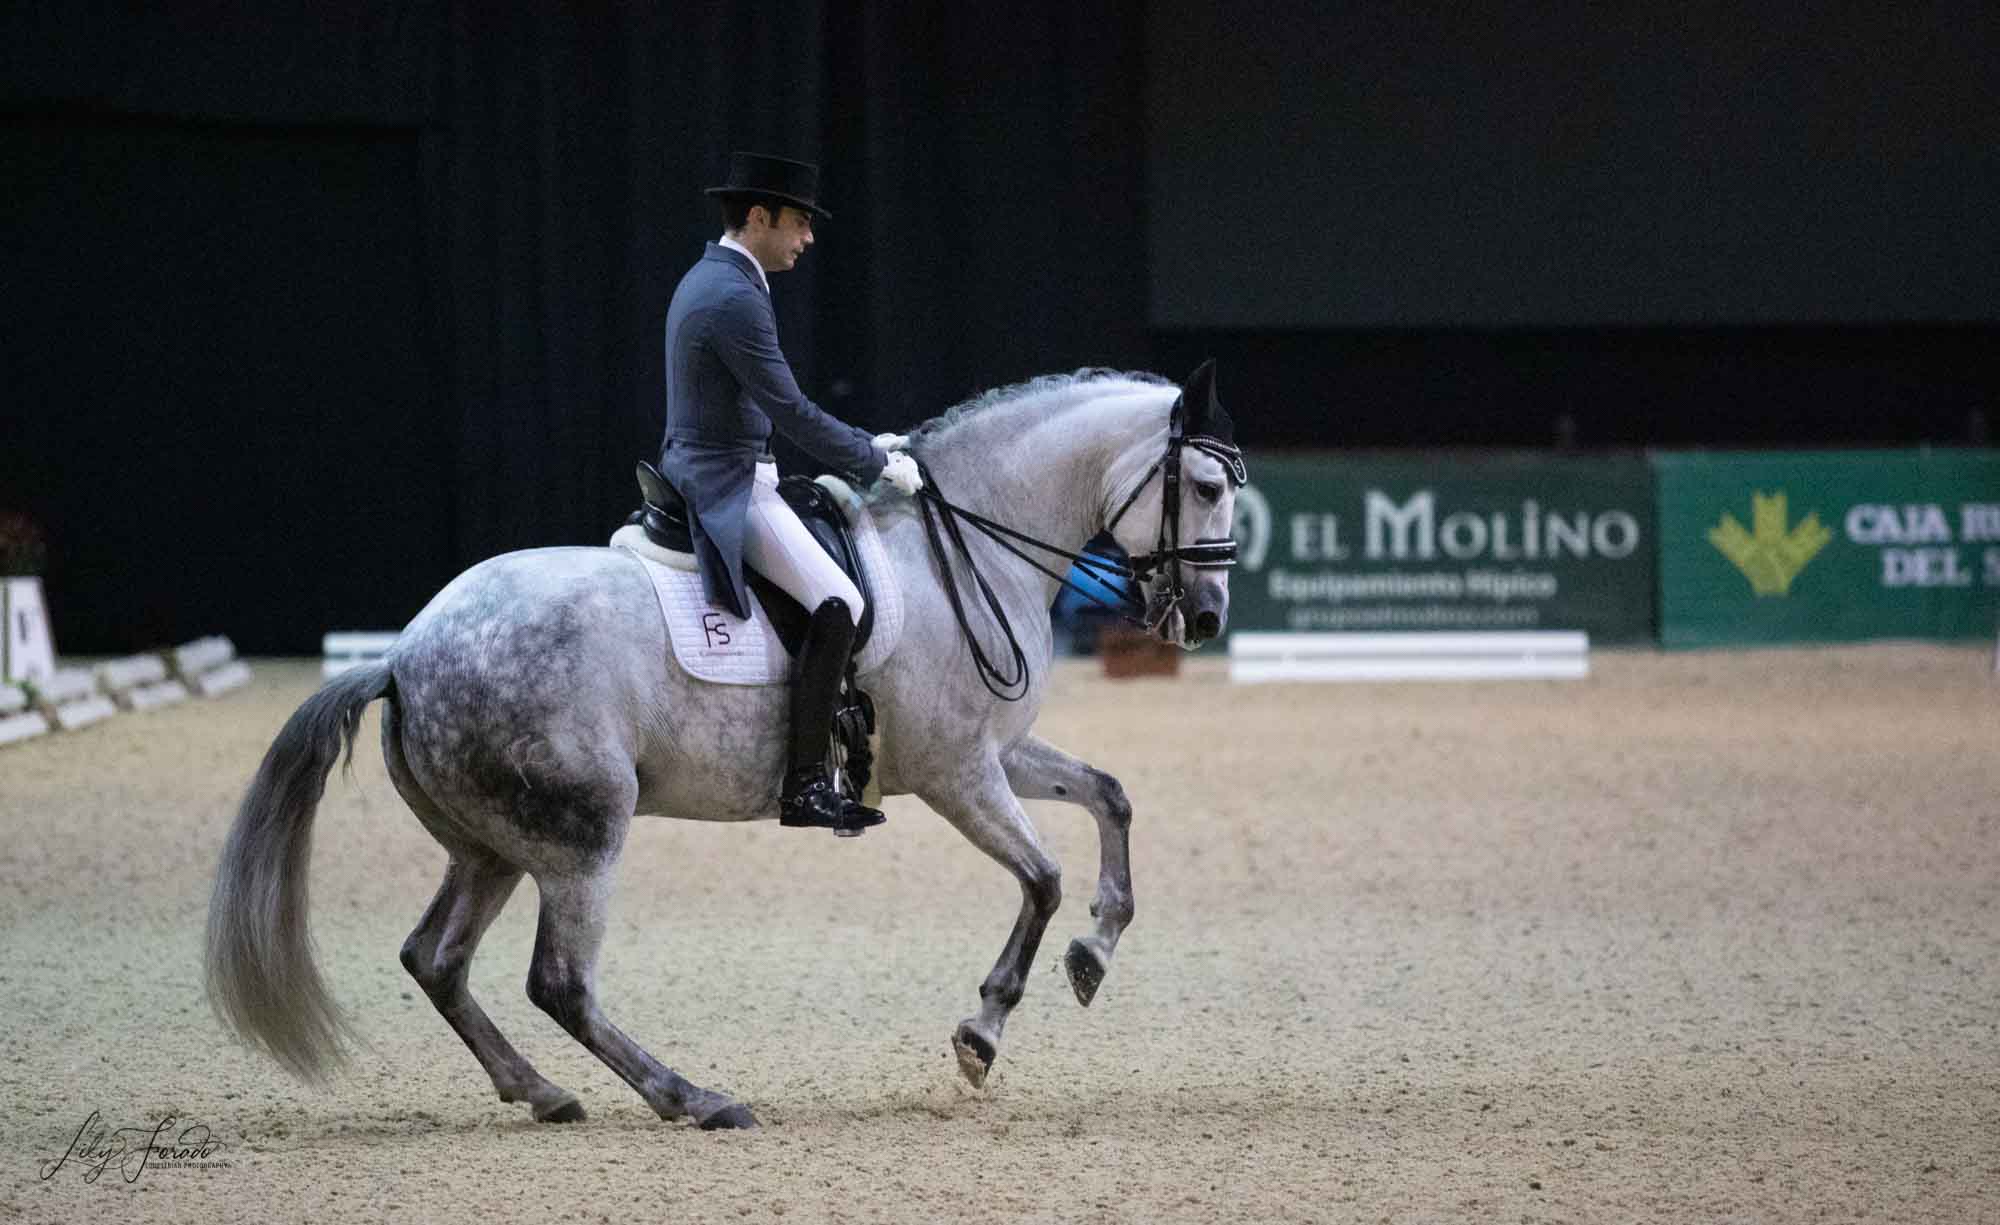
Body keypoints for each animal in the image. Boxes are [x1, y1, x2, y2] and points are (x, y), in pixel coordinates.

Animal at [203, 364, 1232, 1128]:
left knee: (436, 959)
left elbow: (1110, 795)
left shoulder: (995, 752)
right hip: (581, 834)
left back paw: (542, 1091)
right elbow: (1042, 878)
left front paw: (1095, 951)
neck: (961, 549)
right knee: (559, 982)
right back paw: (692, 1097)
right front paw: (983, 1031)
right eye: (1210, 486)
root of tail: (404, 654)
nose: (1209, 617)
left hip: (492, 845)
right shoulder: (958, 771)